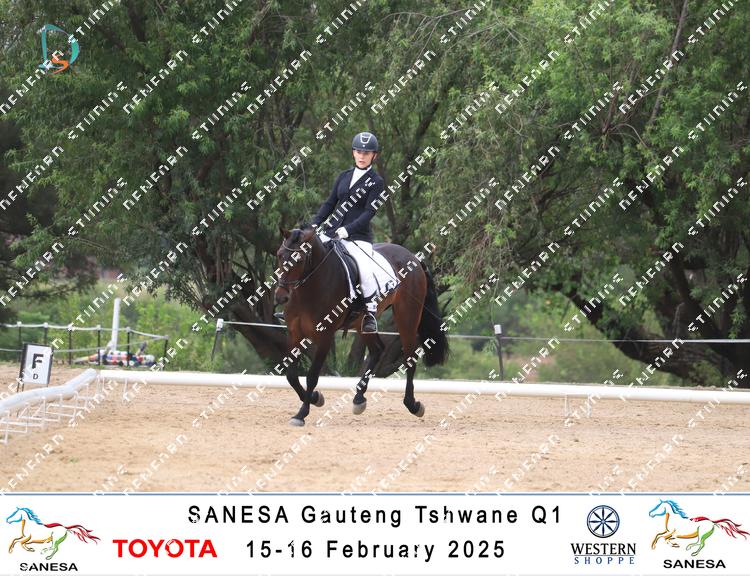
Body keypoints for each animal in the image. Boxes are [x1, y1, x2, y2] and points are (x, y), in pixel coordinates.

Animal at [274, 223, 449, 426]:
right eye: (279, 255)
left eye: (300, 259)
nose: (281, 297)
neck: (308, 289)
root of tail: (414, 257)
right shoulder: (294, 334)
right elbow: (291, 376)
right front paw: (316, 398)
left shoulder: (325, 336)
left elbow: (312, 376)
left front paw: (301, 413)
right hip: (362, 324)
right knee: (377, 350)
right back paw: (359, 399)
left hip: (407, 317)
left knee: (409, 357)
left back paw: (413, 405)